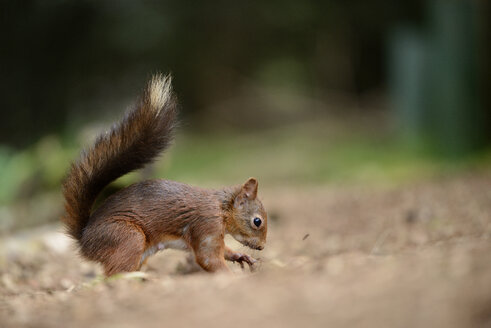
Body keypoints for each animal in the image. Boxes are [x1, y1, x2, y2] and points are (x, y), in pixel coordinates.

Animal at [63, 73, 270, 274]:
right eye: (257, 221)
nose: (261, 247)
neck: (221, 207)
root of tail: (84, 239)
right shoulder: (206, 224)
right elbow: (208, 257)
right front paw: (229, 276)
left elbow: (223, 251)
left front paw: (242, 257)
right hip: (127, 238)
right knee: (114, 273)